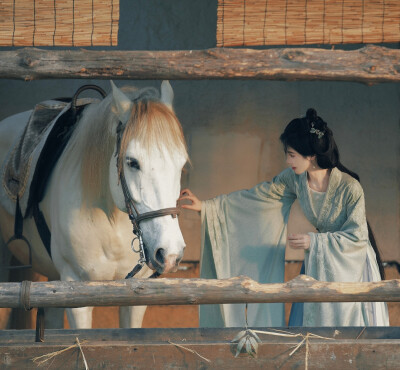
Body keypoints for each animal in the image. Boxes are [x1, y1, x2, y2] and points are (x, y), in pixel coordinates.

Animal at [0, 80, 188, 326]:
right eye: (132, 162)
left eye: (181, 164)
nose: (170, 253)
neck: (111, 223)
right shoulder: (77, 291)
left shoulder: (136, 296)